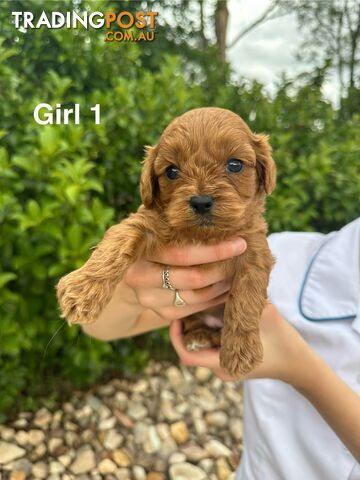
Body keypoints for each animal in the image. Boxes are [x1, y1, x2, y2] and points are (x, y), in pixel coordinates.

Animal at [57, 107, 276, 376]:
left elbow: (246, 298)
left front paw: (241, 351)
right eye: (172, 171)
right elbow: (117, 241)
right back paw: (198, 337)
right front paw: (82, 291)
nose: (201, 202)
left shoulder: (254, 251)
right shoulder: (145, 223)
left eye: (235, 165)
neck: (204, 236)